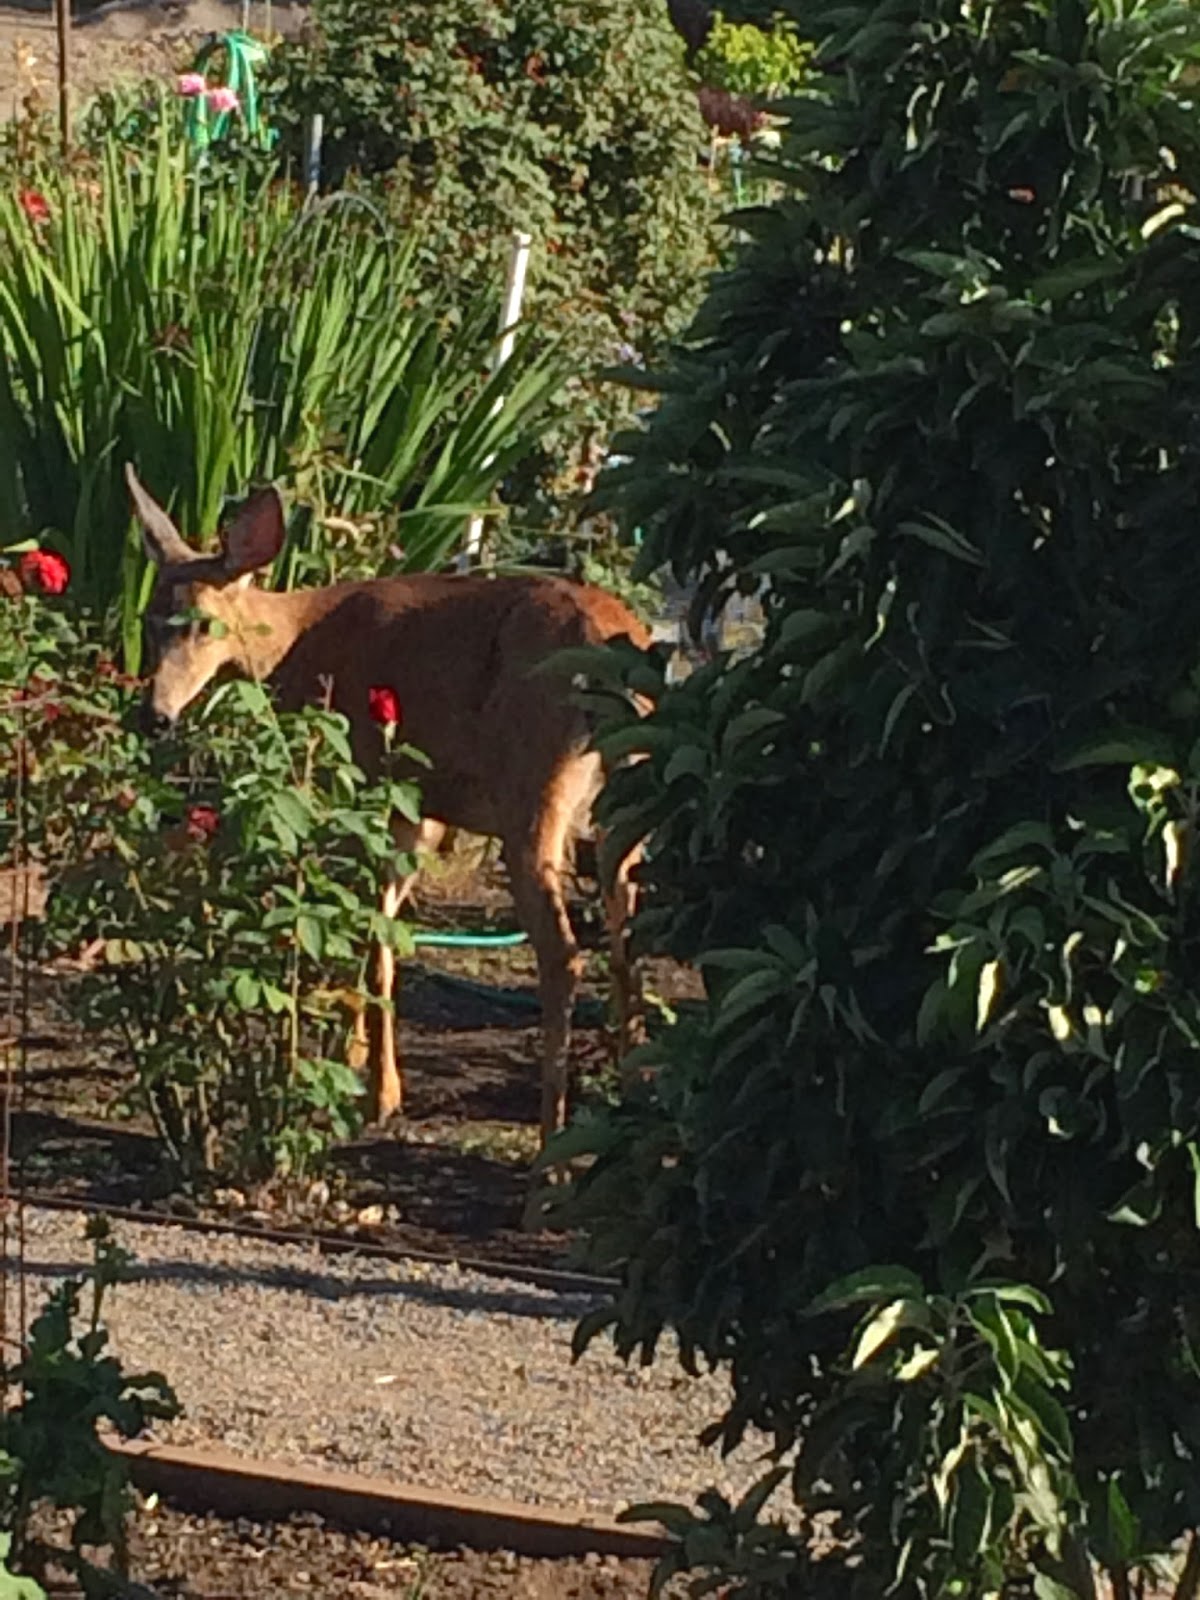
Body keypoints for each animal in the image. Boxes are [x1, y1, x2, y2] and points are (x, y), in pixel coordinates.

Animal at [125, 462, 649, 1147]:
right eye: (148, 619)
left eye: (203, 624)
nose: (154, 715)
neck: (295, 641)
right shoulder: (421, 805)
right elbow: (383, 927)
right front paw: (353, 1057)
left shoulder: (372, 777)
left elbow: (367, 929)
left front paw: (377, 1092)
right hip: (627, 801)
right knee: (628, 935)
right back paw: (633, 1096)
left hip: (531, 785)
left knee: (562, 952)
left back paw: (551, 1147)